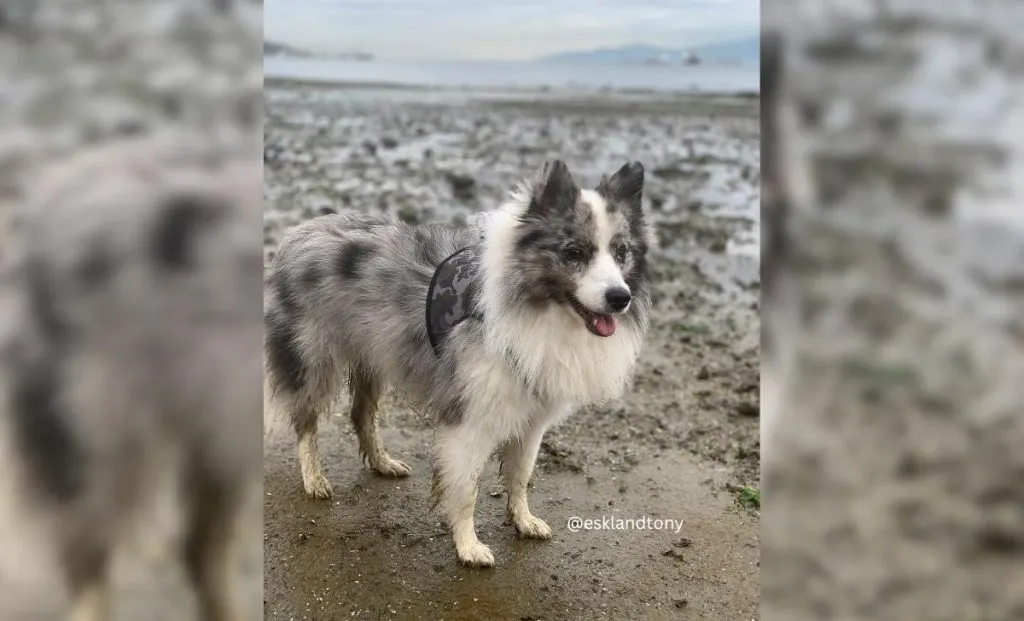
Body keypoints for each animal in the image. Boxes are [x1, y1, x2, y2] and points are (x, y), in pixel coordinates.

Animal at [264, 160, 647, 569]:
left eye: (621, 252)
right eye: (574, 252)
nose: (619, 297)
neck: (540, 309)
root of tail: (299, 231)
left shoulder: (532, 416)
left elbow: (521, 474)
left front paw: (523, 520)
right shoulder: (470, 419)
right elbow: (466, 489)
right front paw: (468, 546)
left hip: (373, 355)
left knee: (361, 414)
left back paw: (382, 462)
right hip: (313, 360)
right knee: (305, 423)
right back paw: (314, 479)